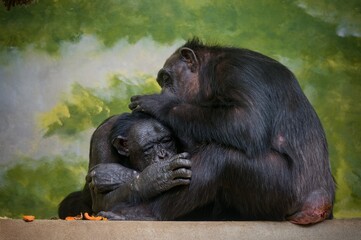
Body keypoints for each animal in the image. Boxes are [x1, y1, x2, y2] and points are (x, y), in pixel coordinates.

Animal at [58, 112, 191, 219]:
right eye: (149, 147)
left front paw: (111, 175)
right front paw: (155, 176)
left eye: (167, 140)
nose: (163, 155)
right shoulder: (100, 140)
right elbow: (102, 200)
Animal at [127, 38, 334, 224]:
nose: (163, 92)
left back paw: (147, 212)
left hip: (281, 192)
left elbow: (248, 121)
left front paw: (159, 104)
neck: (208, 77)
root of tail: (321, 204)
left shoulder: (235, 72)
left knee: (220, 157)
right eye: (162, 81)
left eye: (167, 79)